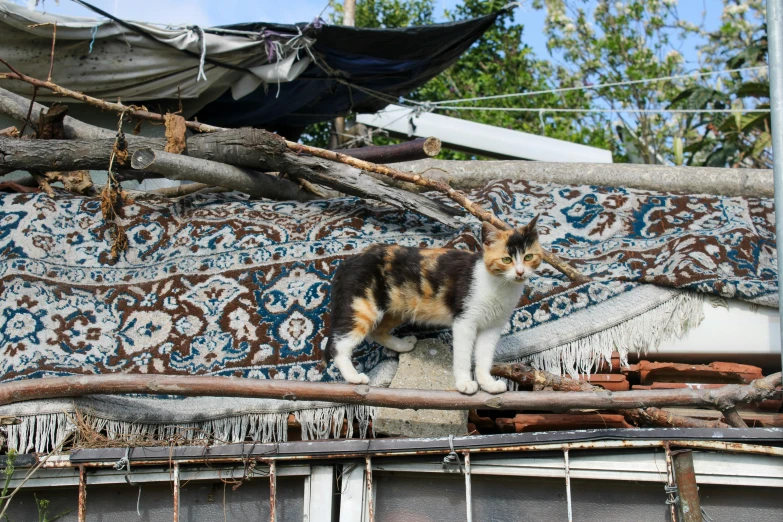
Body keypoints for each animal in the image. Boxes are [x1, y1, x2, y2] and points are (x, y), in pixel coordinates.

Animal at [322, 213, 544, 392]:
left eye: (529, 257)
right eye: (506, 260)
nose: (520, 272)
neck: (499, 285)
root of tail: (348, 261)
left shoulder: (493, 327)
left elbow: (484, 357)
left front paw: (487, 384)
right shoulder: (465, 321)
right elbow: (463, 356)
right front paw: (465, 384)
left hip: (398, 307)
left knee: (377, 331)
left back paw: (402, 345)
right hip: (365, 306)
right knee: (338, 345)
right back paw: (354, 377)